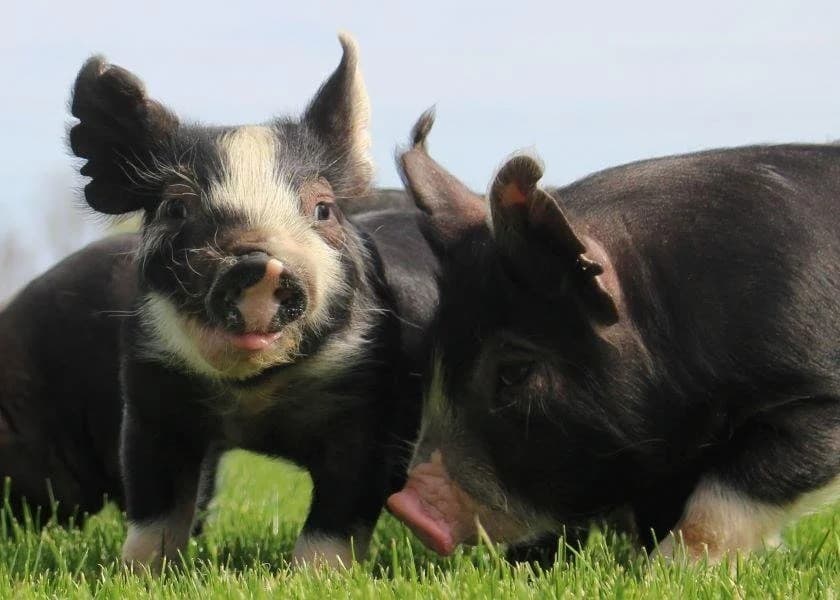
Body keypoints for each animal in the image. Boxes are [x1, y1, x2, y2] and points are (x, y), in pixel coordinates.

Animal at [67, 35, 437, 569]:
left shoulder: (370, 405)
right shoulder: (149, 394)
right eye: (175, 207)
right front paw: (136, 573)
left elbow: (339, 513)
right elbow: (155, 505)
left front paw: (312, 577)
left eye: (322, 209)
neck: (253, 400)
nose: (258, 264)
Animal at [388, 111, 840, 563]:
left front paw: (667, 569)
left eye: (515, 371)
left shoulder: (817, 399)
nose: (405, 505)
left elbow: (722, 500)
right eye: (432, 356)